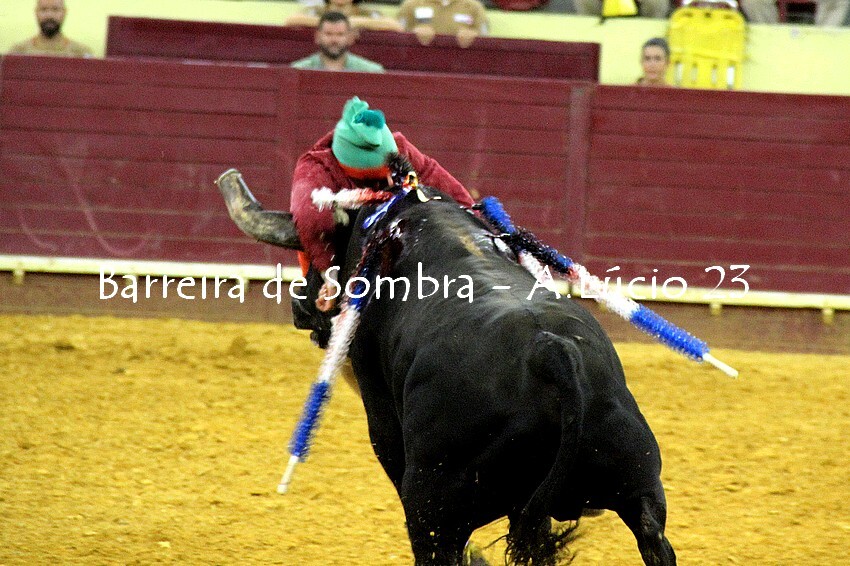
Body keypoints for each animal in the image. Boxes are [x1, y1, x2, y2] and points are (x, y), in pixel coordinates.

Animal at [217, 162, 676, 566]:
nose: (299, 304)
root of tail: (551, 353)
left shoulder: (380, 407)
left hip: (434, 506)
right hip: (640, 487)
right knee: (654, 542)